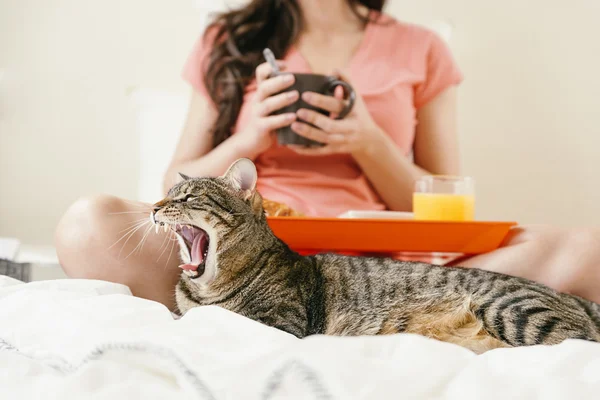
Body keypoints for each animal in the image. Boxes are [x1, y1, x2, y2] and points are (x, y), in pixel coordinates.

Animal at [151, 159, 600, 354]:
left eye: (187, 198)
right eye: (165, 196)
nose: (153, 208)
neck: (207, 287)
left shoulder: (281, 323)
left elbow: (216, 319)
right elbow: (179, 316)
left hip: (513, 310)